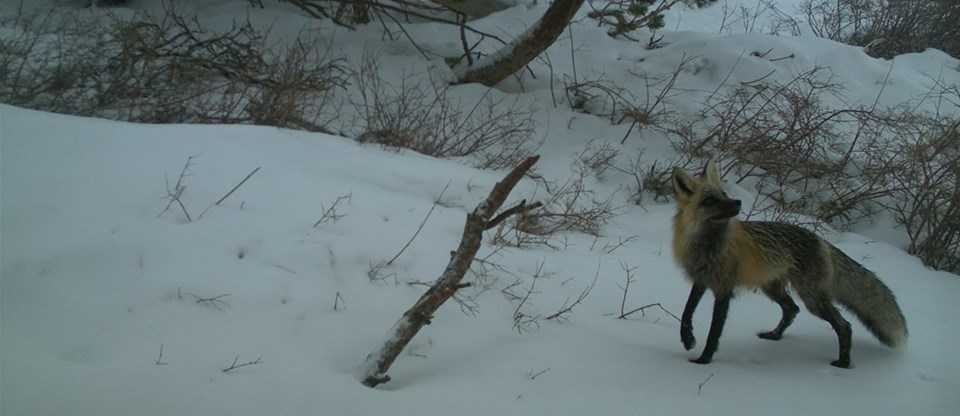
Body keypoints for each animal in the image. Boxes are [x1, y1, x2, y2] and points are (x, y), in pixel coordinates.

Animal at [668, 159, 908, 368]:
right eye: (709, 201)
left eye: (723, 194)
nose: (737, 202)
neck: (707, 248)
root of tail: (821, 240)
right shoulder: (701, 280)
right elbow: (686, 312)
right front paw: (687, 340)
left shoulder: (724, 289)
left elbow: (714, 331)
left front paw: (703, 360)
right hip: (772, 288)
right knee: (792, 309)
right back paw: (774, 335)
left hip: (812, 298)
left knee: (844, 325)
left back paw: (843, 363)